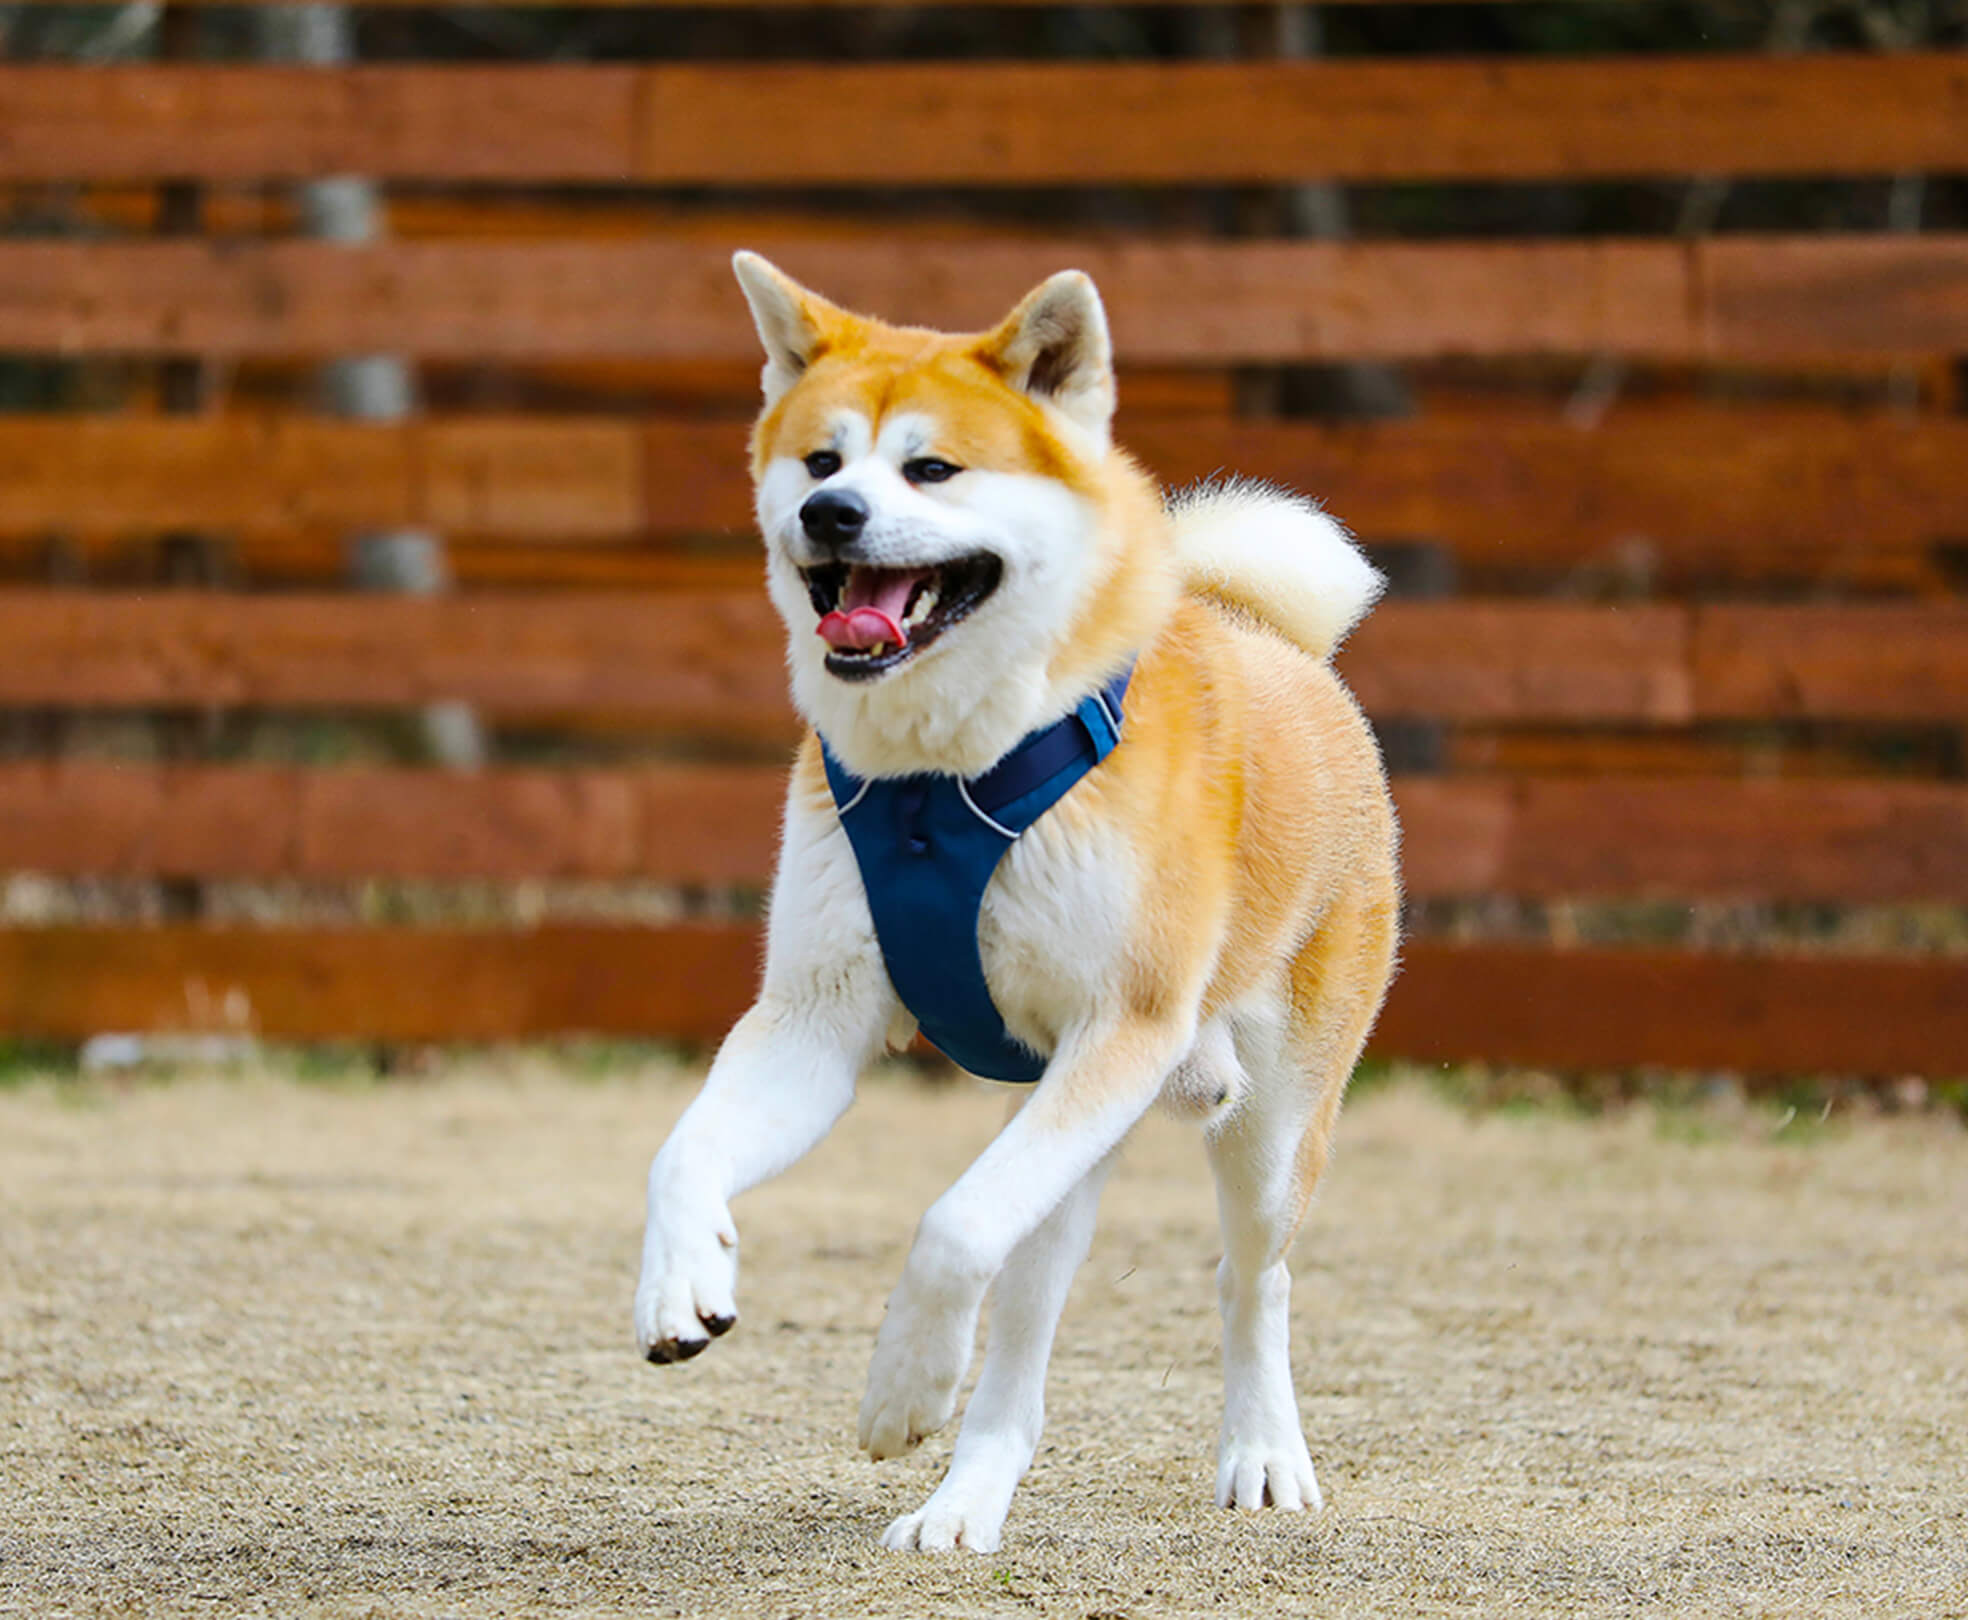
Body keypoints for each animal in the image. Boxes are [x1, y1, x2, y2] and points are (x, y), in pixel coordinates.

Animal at [633, 247, 1401, 1551]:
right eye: (821, 461)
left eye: (930, 468)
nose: (830, 516)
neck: (941, 778)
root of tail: (1274, 645)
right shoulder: (814, 1019)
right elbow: (684, 1153)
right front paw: (684, 1277)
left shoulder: (1121, 1030)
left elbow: (948, 1230)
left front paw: (900, 1389)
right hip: (1066, 1143)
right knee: (1024, 1341)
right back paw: (966, 1502)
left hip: (1257, 1119)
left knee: (1251, 1278)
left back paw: (1259, 1452)